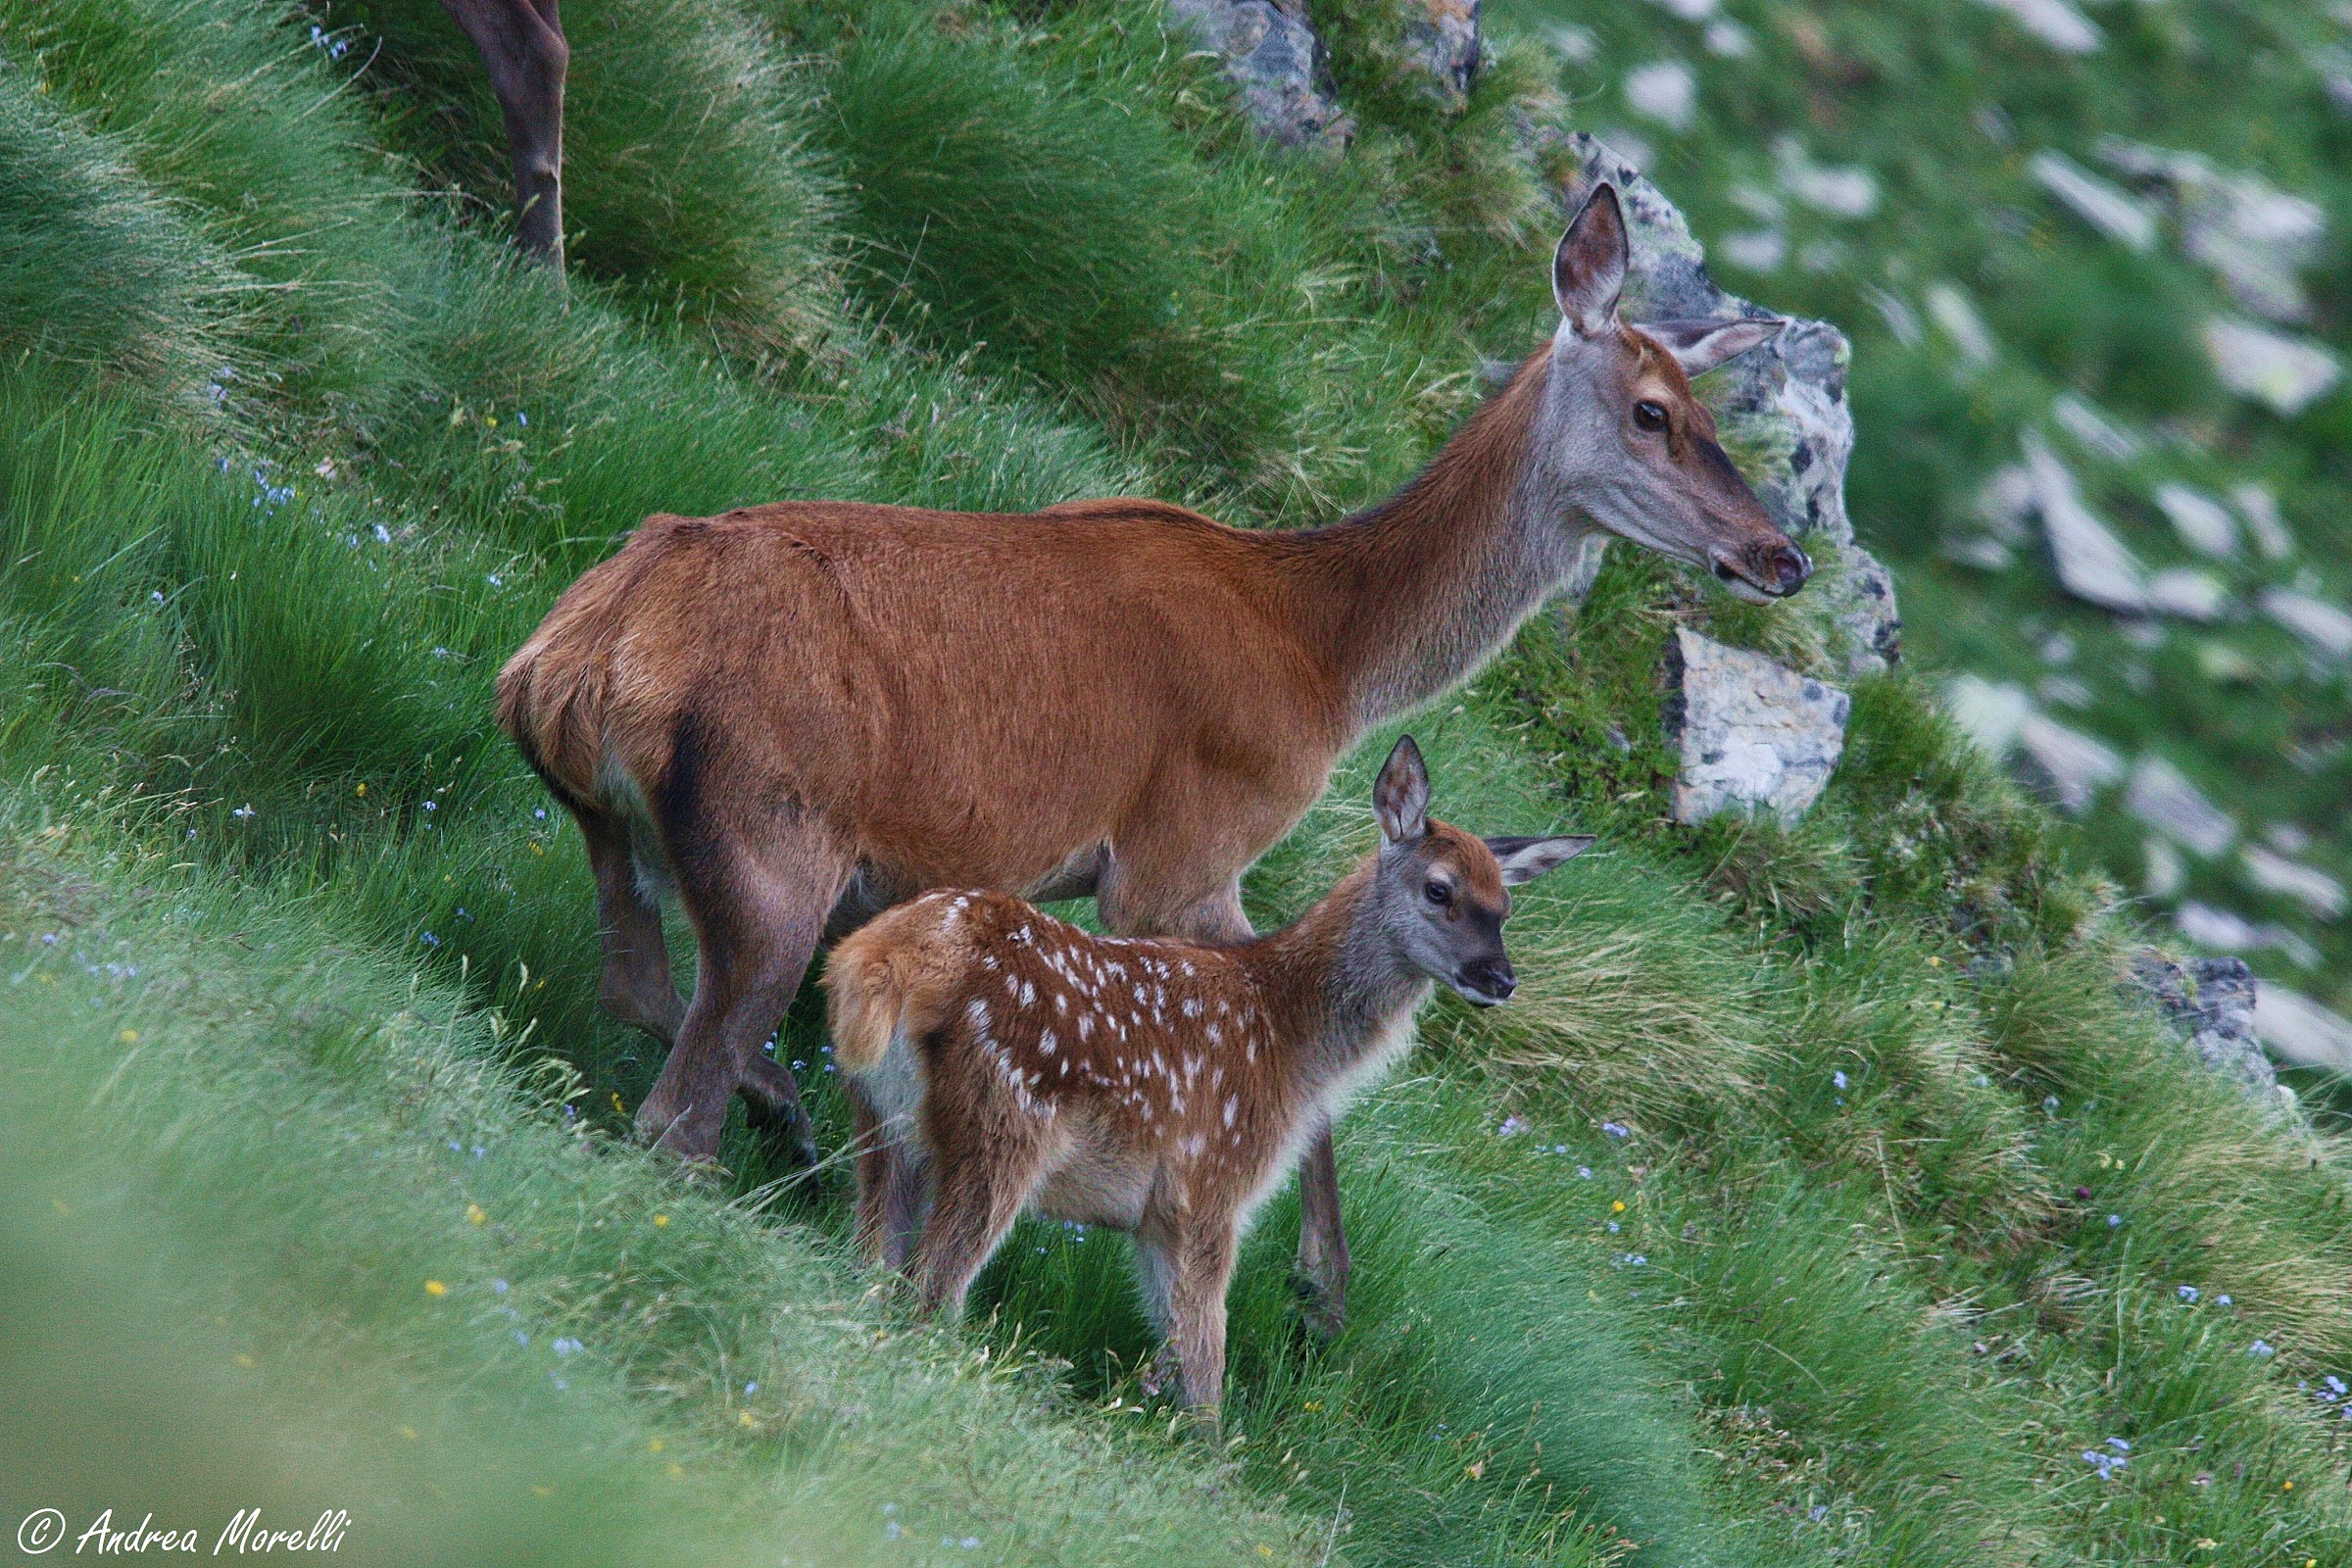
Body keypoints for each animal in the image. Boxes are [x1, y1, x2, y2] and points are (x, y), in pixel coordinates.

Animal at [495, 181, 1809, 1336]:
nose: (1782, 555)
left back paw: (790, 1117)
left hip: (617, 825)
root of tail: (577, 658)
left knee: (637, 985)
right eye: (1653, 410)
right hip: (776, 840)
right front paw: (1318, 1290)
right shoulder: (1183, 852)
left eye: (1713, 411)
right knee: (678, 1105)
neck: (1324, 661)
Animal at [825, 736, 1590, 1426]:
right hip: (1005, 1124)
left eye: (1505, 908)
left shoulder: (1155, 1217)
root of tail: (892, 955)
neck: (1288, 1042)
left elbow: (1172, 1354)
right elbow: (1205, 1368)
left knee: (871, 1263)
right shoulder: (1208, 1187)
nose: (1500, 978)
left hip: (884, 1118)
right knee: (930, 1290)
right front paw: (1207, 1459)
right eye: (1439, 890)